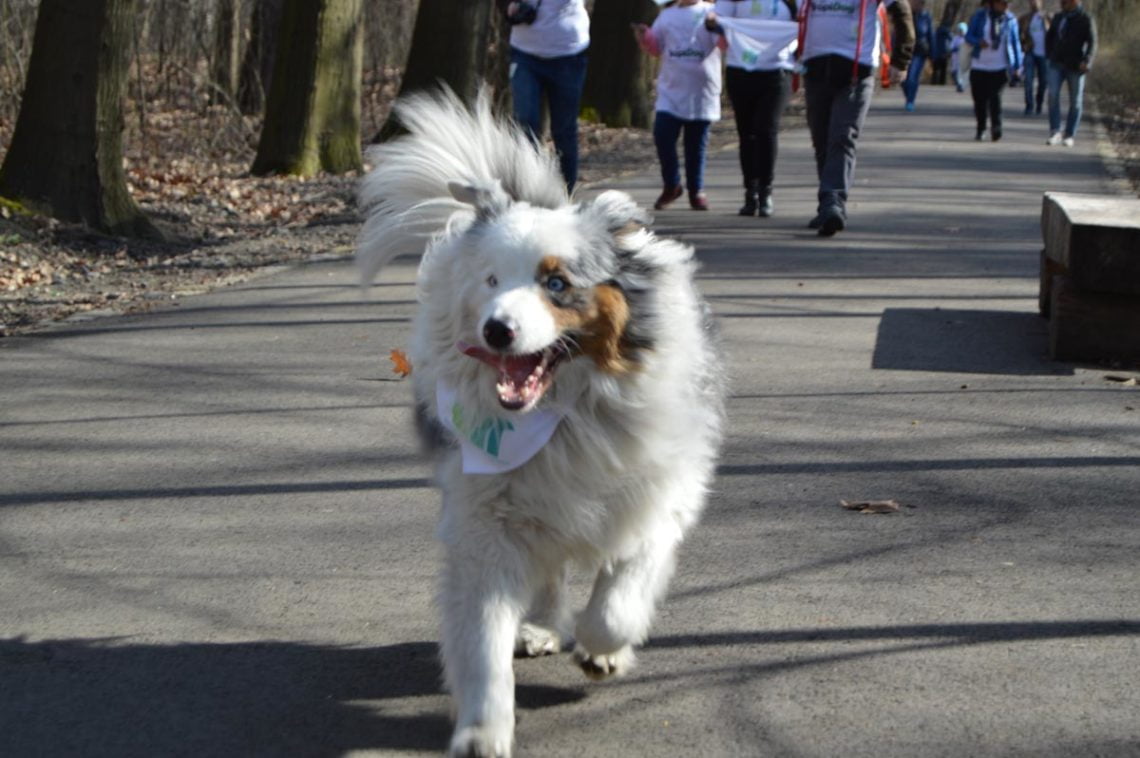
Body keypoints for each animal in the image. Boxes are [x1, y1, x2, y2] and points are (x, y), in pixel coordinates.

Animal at [355, 90, 725, 756]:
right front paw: (482, 730)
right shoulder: (485, 517)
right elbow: (482, 641)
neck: (564, 413)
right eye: (492, 280)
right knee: (548, 570)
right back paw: (542, 627)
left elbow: (619, 598)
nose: (497, 330)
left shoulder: (657, 493)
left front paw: (602, 650)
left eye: (556, 283)